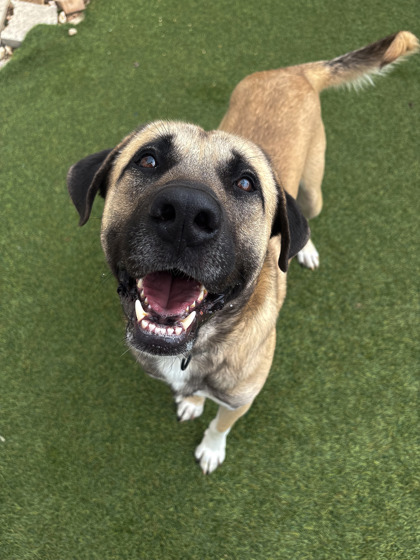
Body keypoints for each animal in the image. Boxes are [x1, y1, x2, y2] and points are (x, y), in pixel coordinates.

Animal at [67, 31, 418, 473]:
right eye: (147, 160)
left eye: (247, 183)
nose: (185, 214)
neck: (203, 343)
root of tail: (293, 71)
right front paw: (192, 401)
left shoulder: (241, 400)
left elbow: (222, 423)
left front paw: (212, 447)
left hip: (312, 190)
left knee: (308, 220)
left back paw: (306, 249)